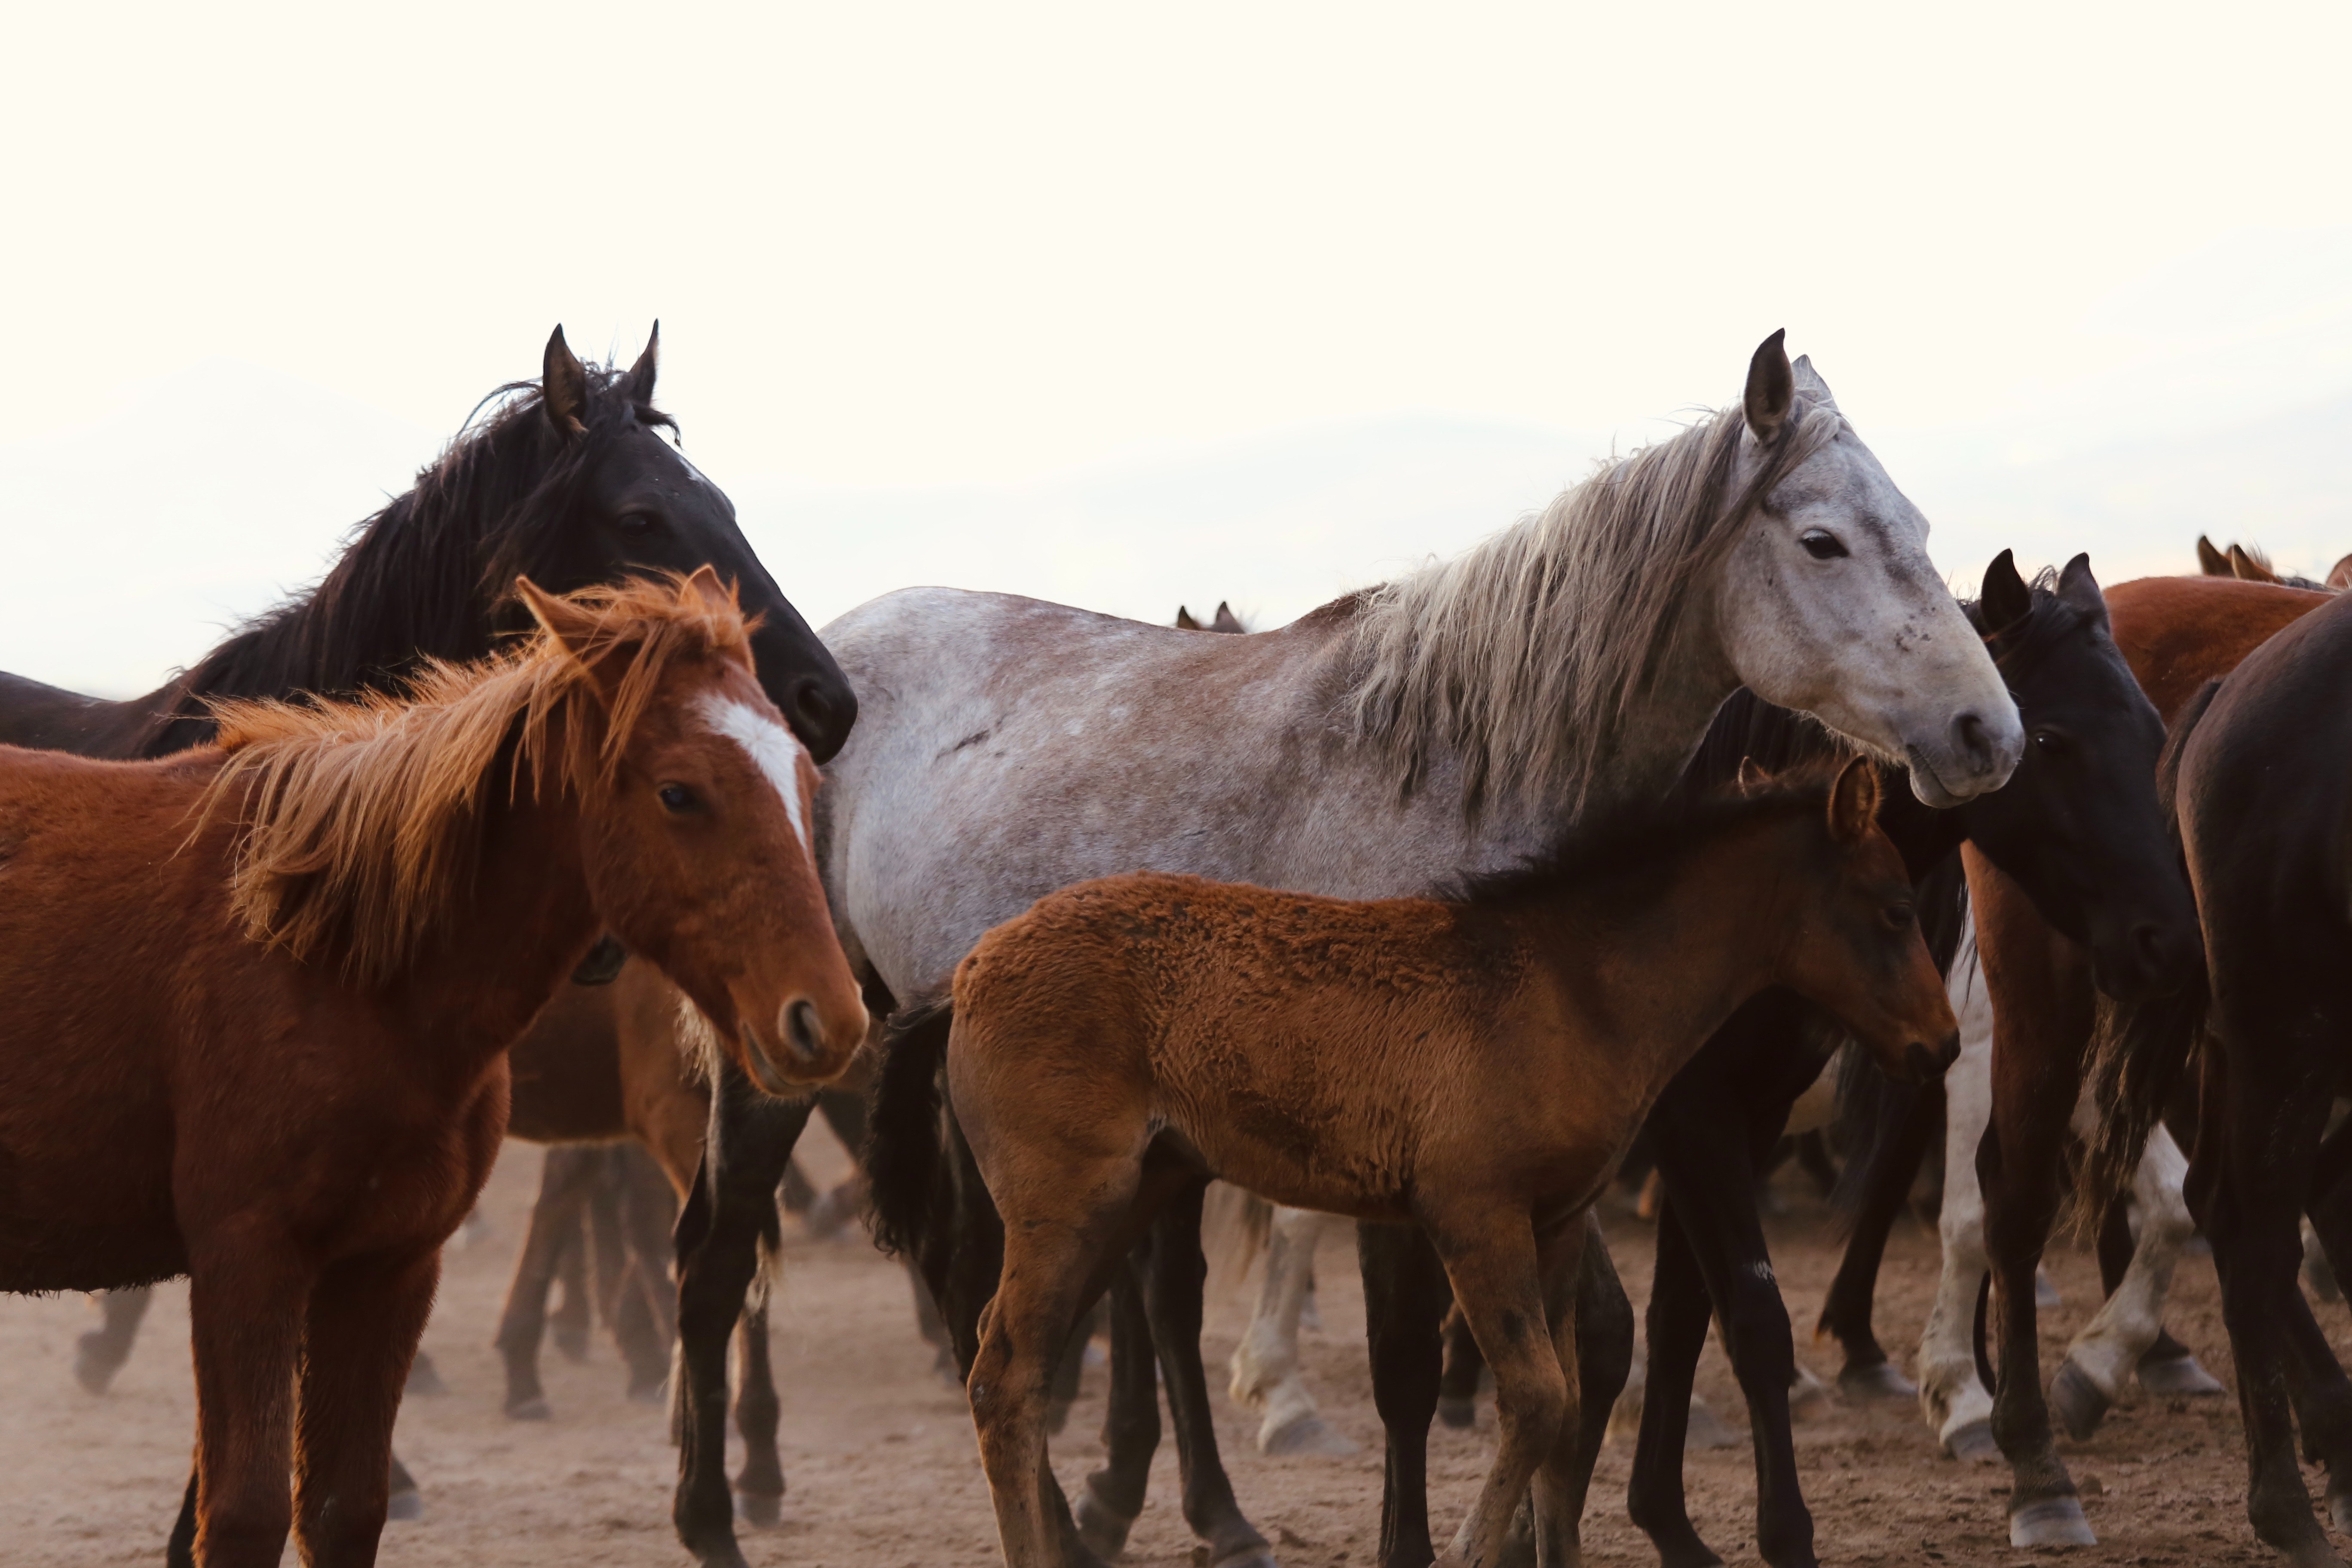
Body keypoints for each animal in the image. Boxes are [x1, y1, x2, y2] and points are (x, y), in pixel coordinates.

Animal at [875, 762, 1957, 1568]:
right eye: (1895, 909)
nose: (1940, 1046)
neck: (1570, 987)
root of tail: (965, 973)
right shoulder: (1471, 1217)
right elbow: (1536, 1398)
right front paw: (1474, 1549)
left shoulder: (1555, 1222)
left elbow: (1570, 1405)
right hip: (1069, 1207)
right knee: (1003, 1376)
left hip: (1130, 1198)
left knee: (1011, 1365)